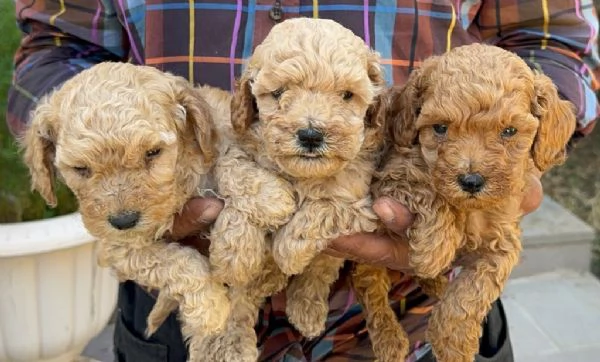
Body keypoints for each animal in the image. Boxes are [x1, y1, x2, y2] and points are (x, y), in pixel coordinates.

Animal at [19, 62, 231, 360]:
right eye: (81, 168)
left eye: (153, 152)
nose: (124, 221)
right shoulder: (117, 248)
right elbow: (177, 261)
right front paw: (211, 308)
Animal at [206, 17, 384, 348]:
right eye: (278, 93)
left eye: (346, 95)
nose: (311, 135)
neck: (303, 174)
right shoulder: (236, 148)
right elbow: (240, 177)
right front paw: (233, 254)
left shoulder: (363, 203)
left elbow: (323, 209)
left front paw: (287, 249)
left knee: (320, 271)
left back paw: (302, 305)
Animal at [354, 44, 580, 362]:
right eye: (440, 128)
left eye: (509, 131)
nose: (471, 181)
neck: (471, 209)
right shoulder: (390, 175)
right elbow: (429, 191)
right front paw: (434, 250)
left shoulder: (502, 243)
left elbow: (473, 292)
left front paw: (454, 343)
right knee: (370, 288)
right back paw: (390, 339)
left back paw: (436, 284)